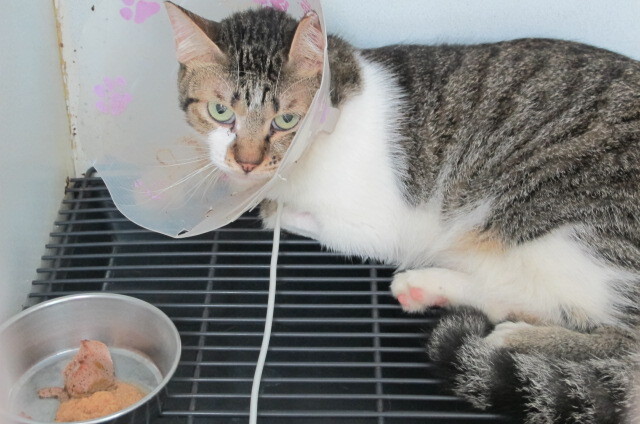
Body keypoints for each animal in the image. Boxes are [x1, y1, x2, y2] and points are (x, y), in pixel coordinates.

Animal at [164, 2, 640, 422]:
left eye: (285, 121)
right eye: (220, 111)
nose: (246, 162)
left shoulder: (374, 227)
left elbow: (299, 217)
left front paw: (270, 207)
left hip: (560, 223)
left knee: (622, 342)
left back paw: (511, 335)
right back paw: (427, 289)